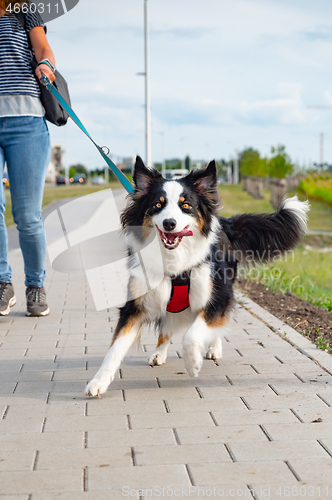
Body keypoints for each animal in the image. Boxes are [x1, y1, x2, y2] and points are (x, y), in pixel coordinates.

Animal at [85, 157, 308, 398]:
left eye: (185, 205)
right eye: (157, 205)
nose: (169, 223)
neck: (174, 258)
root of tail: (225, 222)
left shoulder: (216, 296)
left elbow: (192, 335)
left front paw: (193, 364)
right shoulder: (135, 304)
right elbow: (115, 348)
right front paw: (98, 382)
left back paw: (213, 349)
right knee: (166, 326)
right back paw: (159, 352)